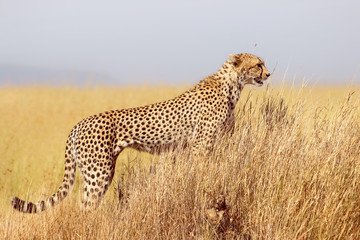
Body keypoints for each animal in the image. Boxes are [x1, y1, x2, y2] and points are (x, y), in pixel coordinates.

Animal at [10, 53, 270, 213]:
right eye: (258, 64)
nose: (268, 74)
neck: (232, 86)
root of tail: (79, 124)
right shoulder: (201, 145)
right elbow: (203, 172)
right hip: (99, 173)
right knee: (84, 207)